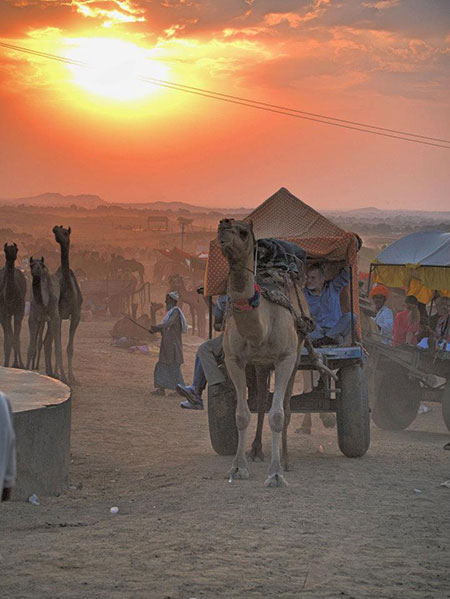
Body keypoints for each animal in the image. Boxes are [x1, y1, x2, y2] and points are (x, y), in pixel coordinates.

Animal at [217, 220, 310, 488]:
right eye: (219, 227)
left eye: (243, 232)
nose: (223, 230)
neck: (261, 327)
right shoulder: (234, 360)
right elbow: (241, 414)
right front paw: (238, 468)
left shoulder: (285, 358)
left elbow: (278, 415)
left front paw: (276, 474)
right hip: (260, 364)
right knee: (260, 403)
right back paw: (256, 450)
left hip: (297, 352)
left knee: (286, 406)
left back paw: (286, 461)